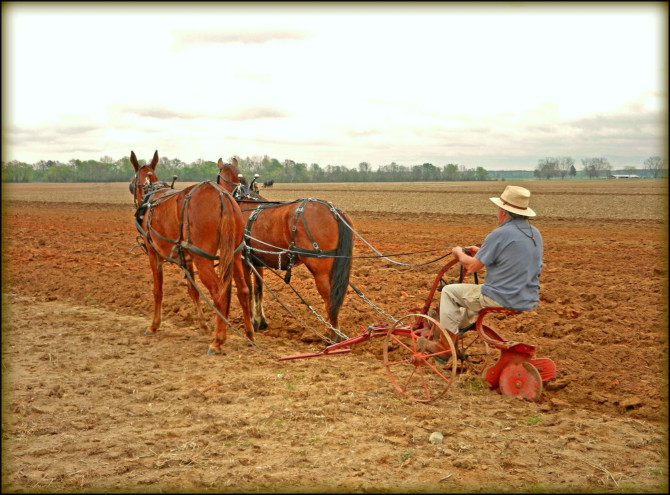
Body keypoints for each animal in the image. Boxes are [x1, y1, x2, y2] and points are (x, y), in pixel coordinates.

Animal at [129, 150, 255, 352]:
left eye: (132, 183)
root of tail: (223, 197)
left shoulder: (153, 253)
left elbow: (158, 290)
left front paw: (154, 325)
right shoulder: (186, 259)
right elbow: (192, 290)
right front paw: (203, 325)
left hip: (203, 259)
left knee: (219, 292)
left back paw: (218, 340)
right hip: (234, 254)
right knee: (243, 291)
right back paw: (249, 335)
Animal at [218, 157, 360, 342]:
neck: (242, 203)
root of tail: (334, 211)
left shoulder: (244, 260)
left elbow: (248, 290)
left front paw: (252, 323)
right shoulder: (257, 261)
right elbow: (258, 290)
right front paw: (260, 321)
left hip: (319, 268)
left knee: (330, 297)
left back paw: (332, 335)